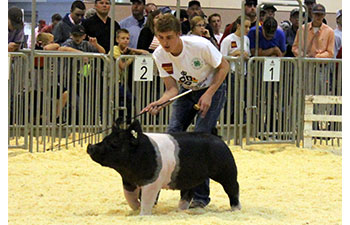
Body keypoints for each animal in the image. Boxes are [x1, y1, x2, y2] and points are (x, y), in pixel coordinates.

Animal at [87, 118, 241, 215]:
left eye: (114, 143)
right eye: (105, 139)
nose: (90, 146)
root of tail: (217, 137)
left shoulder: (151, 183)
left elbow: (147, 199)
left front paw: (143, 215)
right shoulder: (128, 182)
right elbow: (130, 198)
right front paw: (135, 209)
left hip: (227, 171)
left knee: (233, 188)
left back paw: (235, 210)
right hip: (191, 177)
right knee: (187, 193)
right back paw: (180, 211)